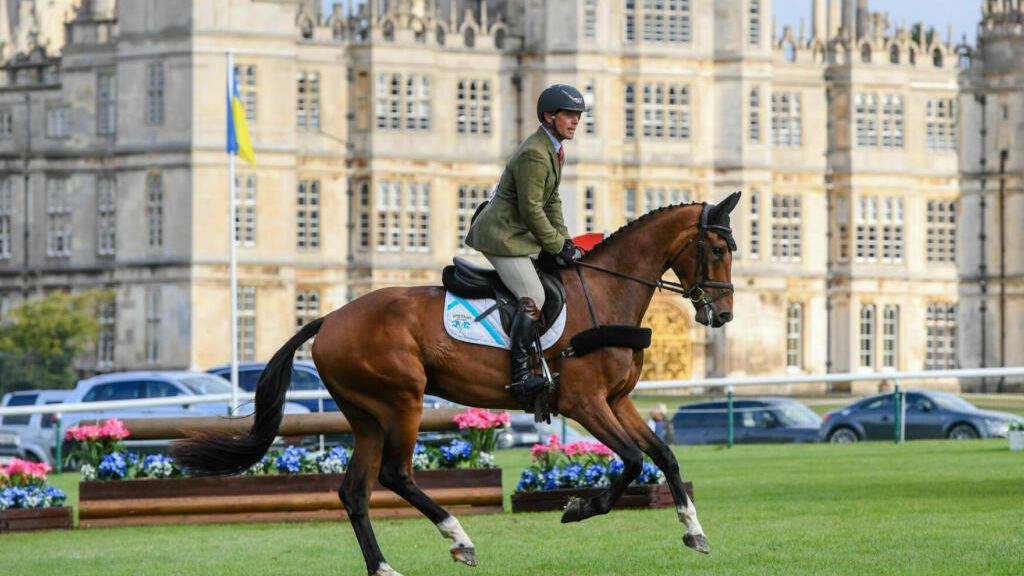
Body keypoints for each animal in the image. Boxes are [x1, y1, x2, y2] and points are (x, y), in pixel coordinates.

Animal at [171, 192, 740, 576]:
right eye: (716, 248)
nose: (723, 315)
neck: (605, 292)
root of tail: (329, 318)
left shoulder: (617, 401)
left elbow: (664, 456)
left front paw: (694, 530)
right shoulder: (585, 403)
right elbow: (635, 461)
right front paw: (579, 508)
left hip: (366, 415)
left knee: (354, 490)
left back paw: (384, 567)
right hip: (402, 401)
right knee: (396, 475)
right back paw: (459, 538)